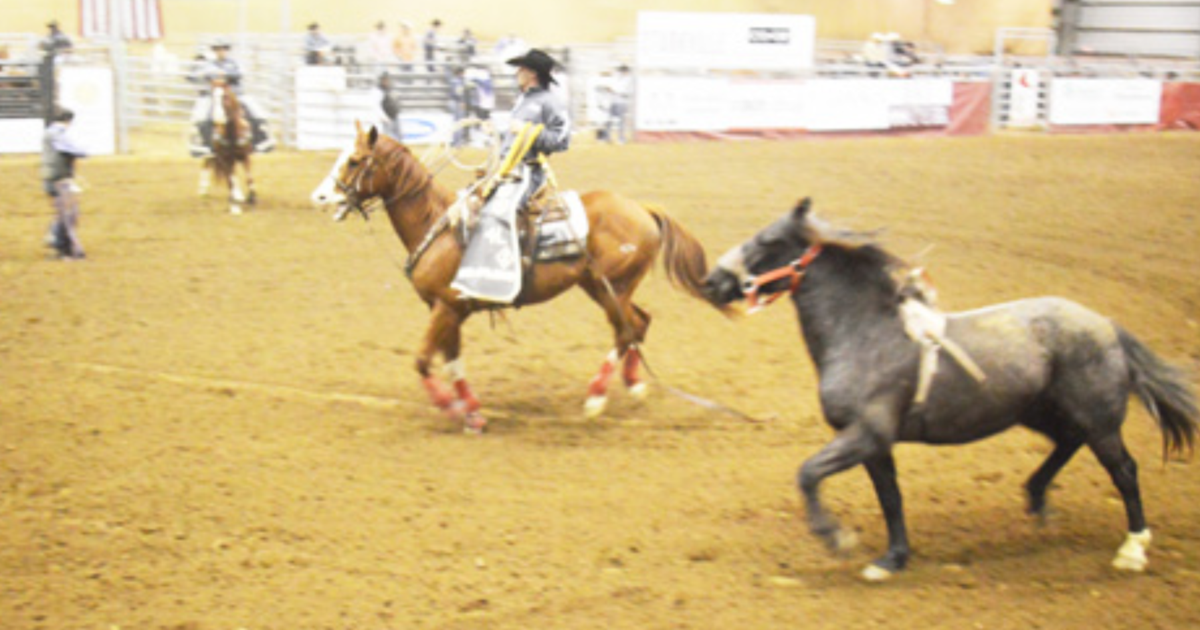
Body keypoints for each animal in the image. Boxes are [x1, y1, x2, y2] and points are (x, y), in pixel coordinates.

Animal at [199, 79, 256, 214]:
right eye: (212, 96)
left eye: (224, 96)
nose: (218, 119)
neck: (232, 133)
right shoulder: (224, 158)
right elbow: (230, 180)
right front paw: (234, 207)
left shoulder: (245, 156)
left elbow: (249, 178)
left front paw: (252, 200)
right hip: (219, 157)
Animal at [311, 122, 719, 432]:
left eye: (354, 160)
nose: (320, 197)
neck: (438, 223)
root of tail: (643, 209)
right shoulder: (448, 310)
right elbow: (452, 360)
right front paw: (472, 413)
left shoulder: (446, 307)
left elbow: (423, 361)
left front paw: (452, 408)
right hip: (601, 287)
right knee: (638, 324)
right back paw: (633, 385)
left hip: (612, 288)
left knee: (627, 329)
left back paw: (595, 398)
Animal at [701, 197, 1199, 581]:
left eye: (767, 241)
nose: (711, 282)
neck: (863, 334)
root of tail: (1107, 325)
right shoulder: (875, 444)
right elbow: (890, 498)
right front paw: (891, 559)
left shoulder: (867, 434)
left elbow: (808, 473)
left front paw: (838, 538)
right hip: (1041, 412)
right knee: (1068, 443)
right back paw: (1037, 500)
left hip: (1099, 419)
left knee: (1124, 471)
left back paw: (1132, 550)